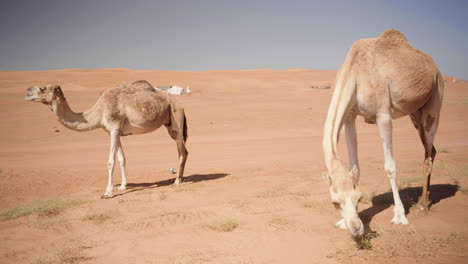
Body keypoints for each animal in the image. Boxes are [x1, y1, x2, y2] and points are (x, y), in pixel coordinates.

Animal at [25, 80, 188, 198]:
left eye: (42, 88)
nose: (27, 91)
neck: (99, 111)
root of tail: (180, 104)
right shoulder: (114, 132)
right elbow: (122, 159)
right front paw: (122, 186)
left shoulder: (114, 128)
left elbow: (110, 161)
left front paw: (108, 192)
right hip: (169, 123)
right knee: (184, 151)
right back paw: (180, 178)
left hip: (176, 117)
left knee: (182, 152)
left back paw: (177, 181)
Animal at [324, 29, 444, 236]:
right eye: (335, 203)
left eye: (358, 198)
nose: (355, 228)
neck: (355, 71)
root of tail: (436, 68)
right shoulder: (350, 116)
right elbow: (355, 167)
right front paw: (344, 222)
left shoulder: (383, 114)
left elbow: (390, 167)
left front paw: (400, 216)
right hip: (415, 113)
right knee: (432, 151)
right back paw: (426, 198)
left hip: (435, 100)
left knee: (429, 153)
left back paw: (423, 205)